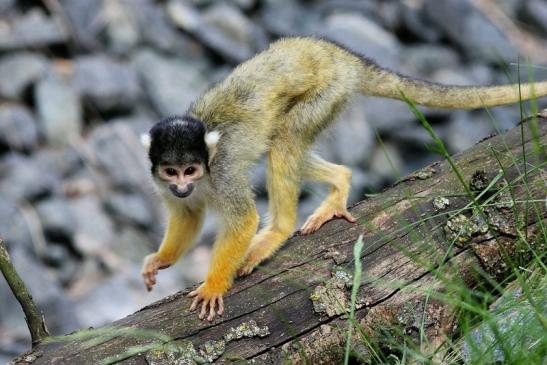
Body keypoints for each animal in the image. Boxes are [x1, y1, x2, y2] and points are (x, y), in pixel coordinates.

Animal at [141, 37, 547, 320]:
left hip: (327, 92)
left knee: (285, 142)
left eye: (191, 169)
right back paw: (341, 179)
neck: (205, 170)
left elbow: (242, 220)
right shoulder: (164, 186)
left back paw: (278, 231)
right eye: (172, 171)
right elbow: (187, 215)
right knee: (286, 144)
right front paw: (160, 259)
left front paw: (213, 285)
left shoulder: (222, 170)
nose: (182, 185)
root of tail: (339, 54)